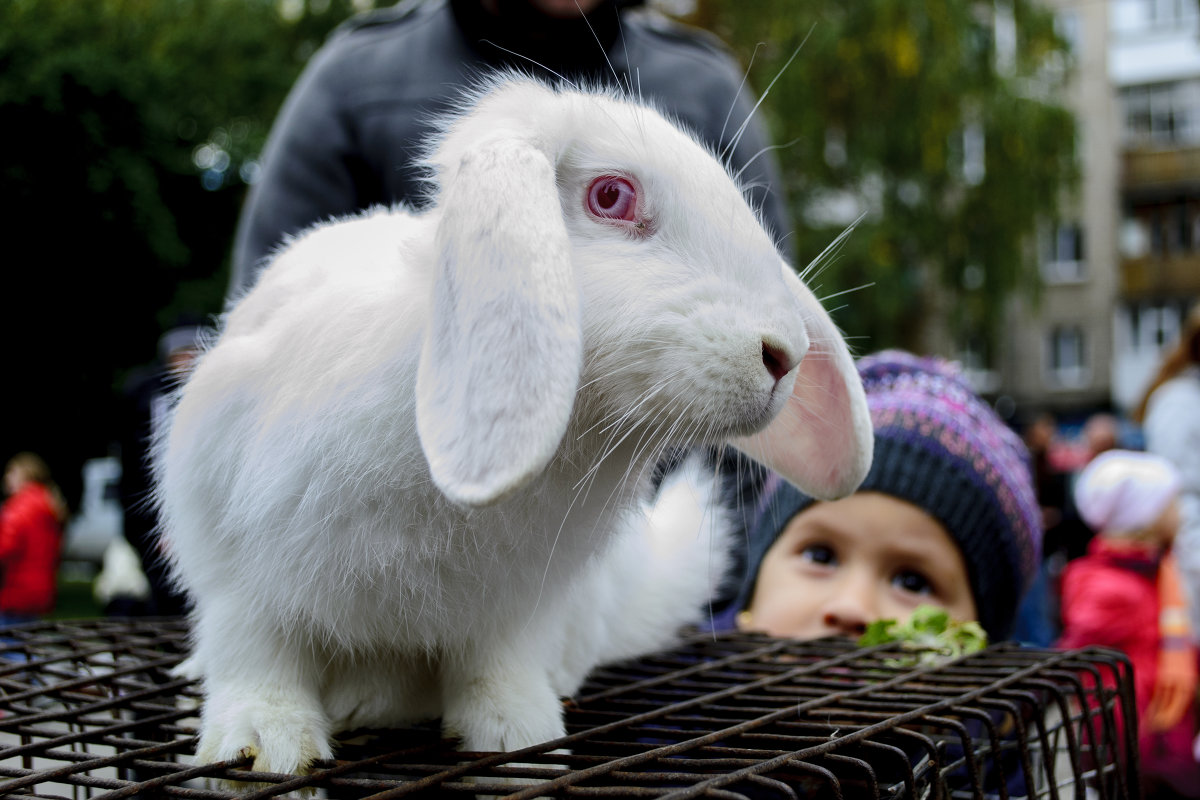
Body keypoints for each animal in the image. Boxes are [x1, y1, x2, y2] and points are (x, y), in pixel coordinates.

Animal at [159, 74, 873, 777]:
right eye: (611, 195)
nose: (784, 355)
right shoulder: (232, 563)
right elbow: (257, 655)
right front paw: (265, 745)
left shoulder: (513, 607)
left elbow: (494, 673)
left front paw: (518, 739)